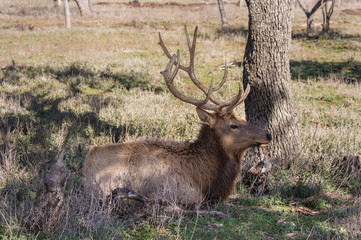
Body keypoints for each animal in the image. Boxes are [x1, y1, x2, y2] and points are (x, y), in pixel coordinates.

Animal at [83, 27, 272, 204]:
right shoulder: (184, 193)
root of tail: (86, 165)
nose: (267, 134)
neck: (205, 178)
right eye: (233, 125)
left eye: (242, 118)